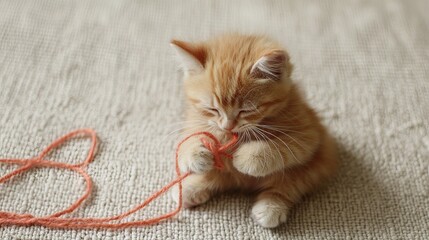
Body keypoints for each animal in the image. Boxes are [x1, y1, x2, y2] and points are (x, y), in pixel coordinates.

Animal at [169, 33, 336, 227]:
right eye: (212, 109)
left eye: (246, 111)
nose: (228, 126)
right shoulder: (195, 119)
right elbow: (189, 138)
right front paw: (195, 155)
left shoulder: (307, 134)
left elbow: (279, 147)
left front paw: (248, 159)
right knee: (216, 177)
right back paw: (191, 187)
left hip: (315, 165)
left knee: (288, 186)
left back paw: (271, 207)